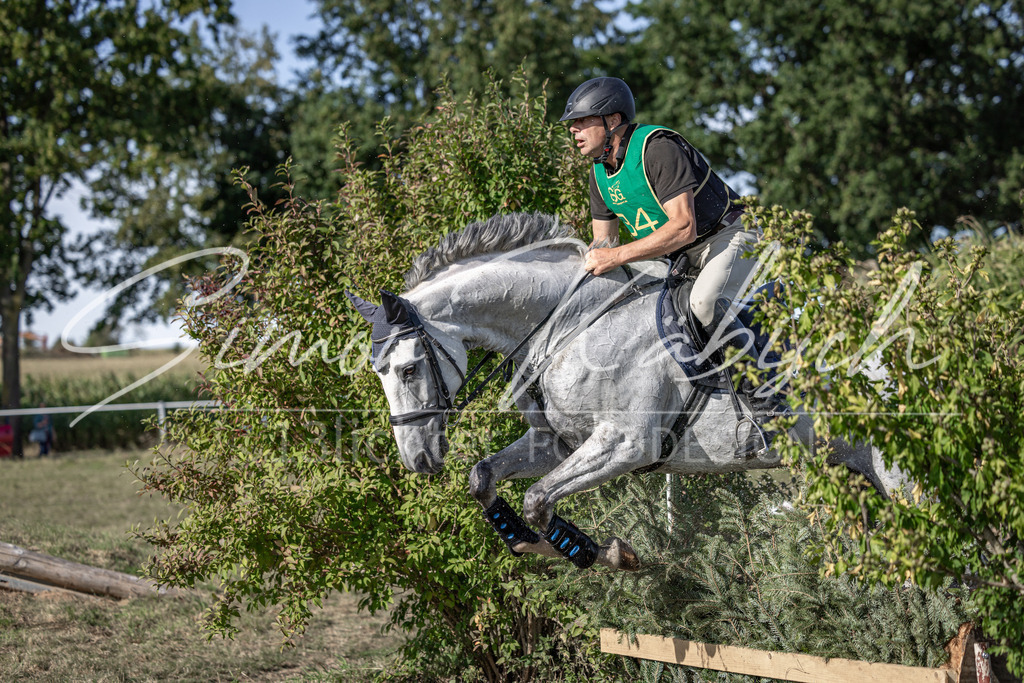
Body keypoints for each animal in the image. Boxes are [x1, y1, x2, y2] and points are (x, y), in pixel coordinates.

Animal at [347, 212, 904, 571]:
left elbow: (537, 498)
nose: (417, 459)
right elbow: (485, 479)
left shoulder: (627, 444)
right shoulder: (559, 443)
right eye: (379, 373)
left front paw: (601, 554)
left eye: (408, 370)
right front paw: (541, 546)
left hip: (897, 474)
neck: (568, 324)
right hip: (852, 471)